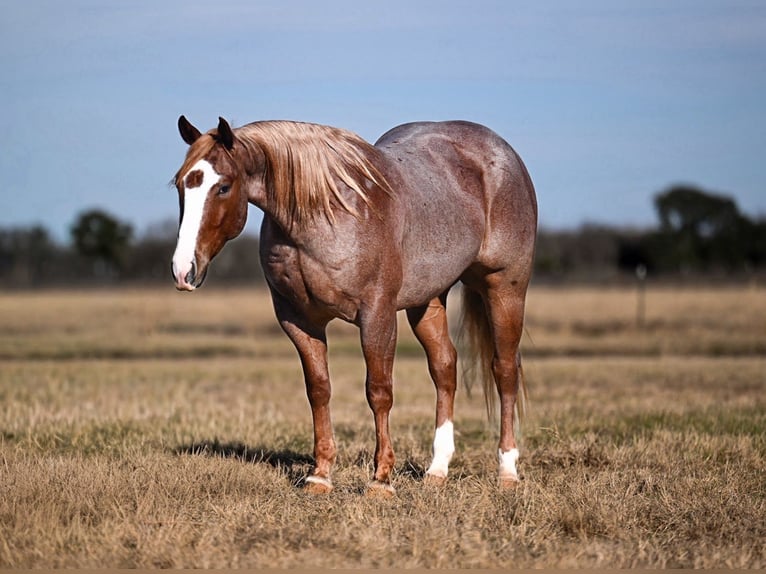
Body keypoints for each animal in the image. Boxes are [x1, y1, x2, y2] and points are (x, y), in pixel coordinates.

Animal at [171, 116, 537, 495]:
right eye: (180, 184)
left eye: (223, 187)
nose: (184, 270)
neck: (326, 215)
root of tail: (500, 151)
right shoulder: (299, 321)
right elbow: (319, 390)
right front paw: (320, 475)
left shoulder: (377, 316)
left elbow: (379, 391)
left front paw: (381, 480)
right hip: (428, 300)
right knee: (444, 368)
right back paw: (437, 470)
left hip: (504, 289)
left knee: (504, 370)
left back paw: (507, 471)